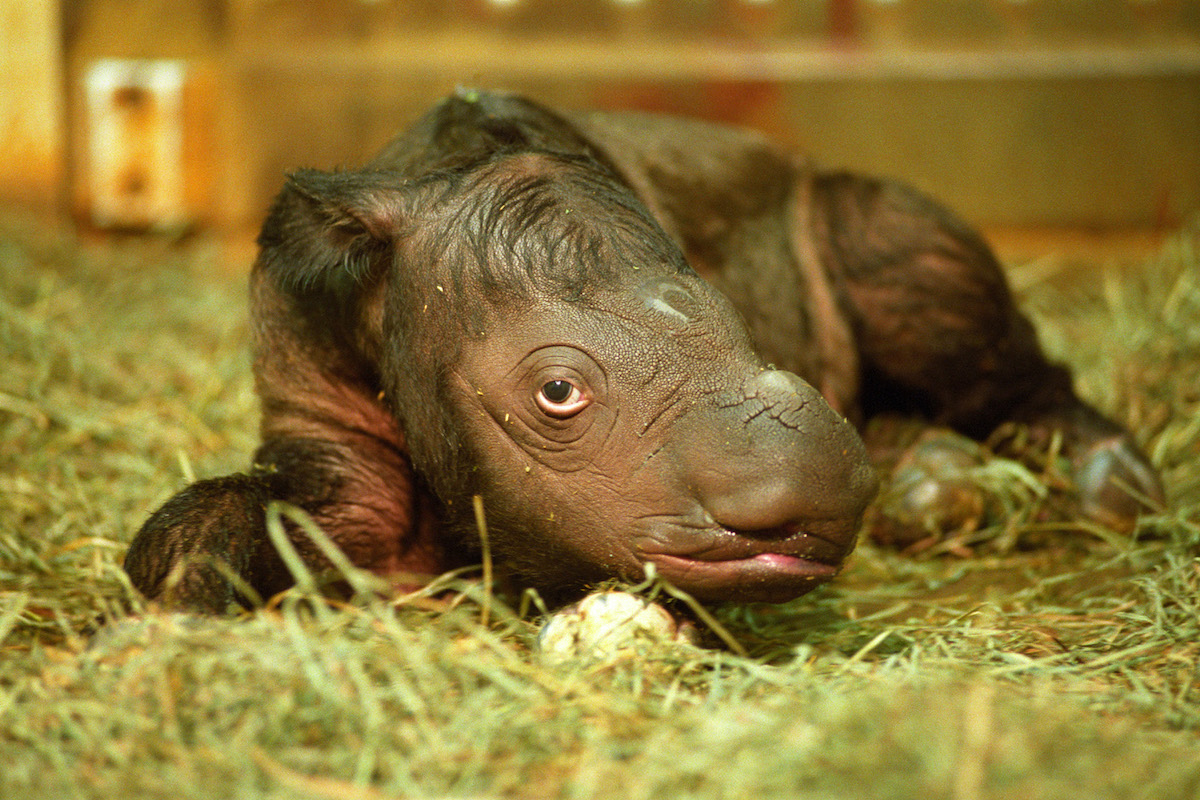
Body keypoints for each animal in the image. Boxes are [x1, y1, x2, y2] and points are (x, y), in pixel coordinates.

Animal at [124, 89, 1161, 614]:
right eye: (556, 393)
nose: (811, 513)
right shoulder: (308, 385)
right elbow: (293, 513)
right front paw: (169, 623)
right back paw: (935, 485)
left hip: (840, 203)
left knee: (906, 258)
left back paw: (1111, 489)